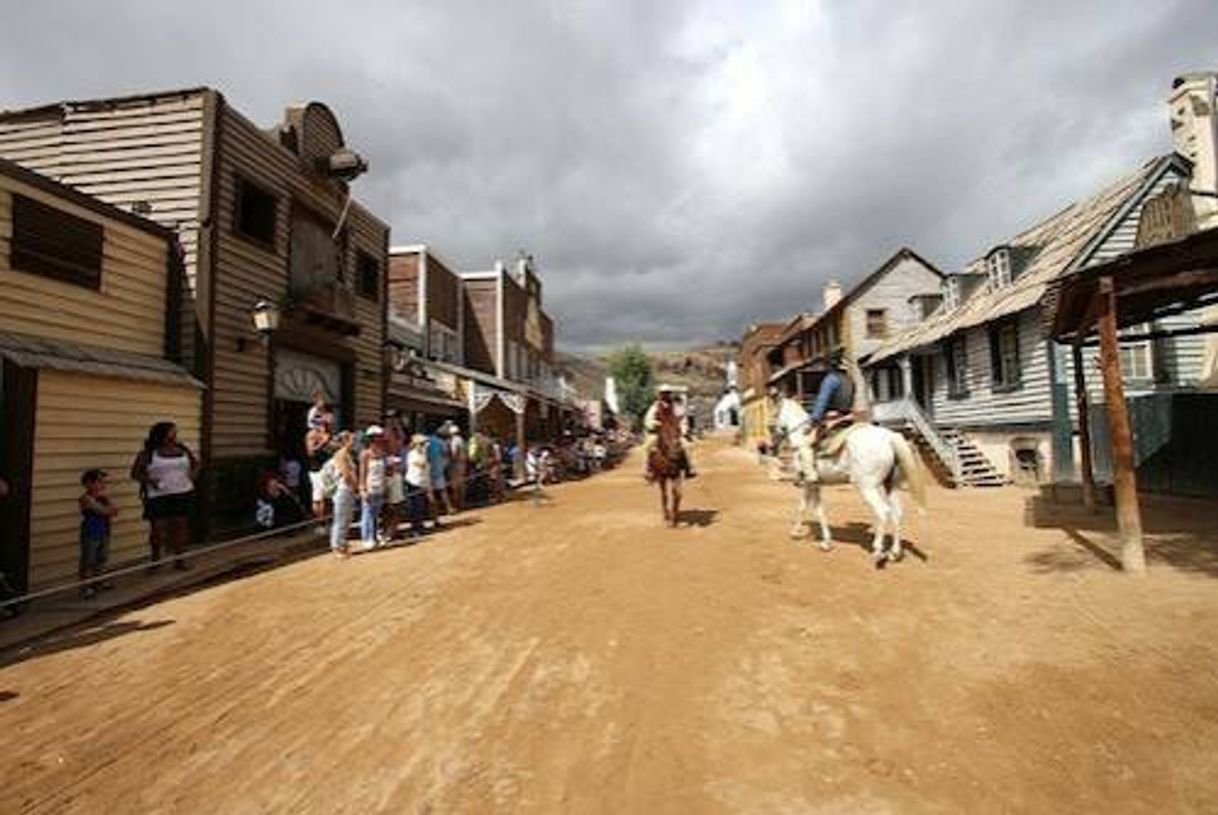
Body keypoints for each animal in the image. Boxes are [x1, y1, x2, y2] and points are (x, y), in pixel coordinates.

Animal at [774, 397, 925, 562]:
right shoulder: (812, 484)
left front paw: (825, 542)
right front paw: (798, 533)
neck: (801, 436)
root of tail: (889, 438)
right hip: (891, 486)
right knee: (897, 513)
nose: (774, 433)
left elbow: (816, 510)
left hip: (867, 487)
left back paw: (878, 551)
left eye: (776, 413)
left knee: (882, 511)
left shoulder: (810, 483)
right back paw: (894, 552)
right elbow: (804, 507)